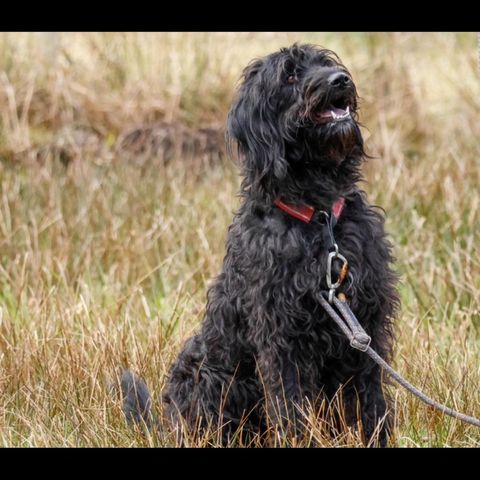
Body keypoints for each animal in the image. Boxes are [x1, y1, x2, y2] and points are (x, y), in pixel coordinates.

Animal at [122, 45, 400, 446]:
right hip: (205, 371)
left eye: (326, 62)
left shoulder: (366, 328)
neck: (319, 218)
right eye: (289, 75)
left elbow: (372, 403)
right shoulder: (281, 339)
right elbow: (290, 409)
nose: (340, 80)